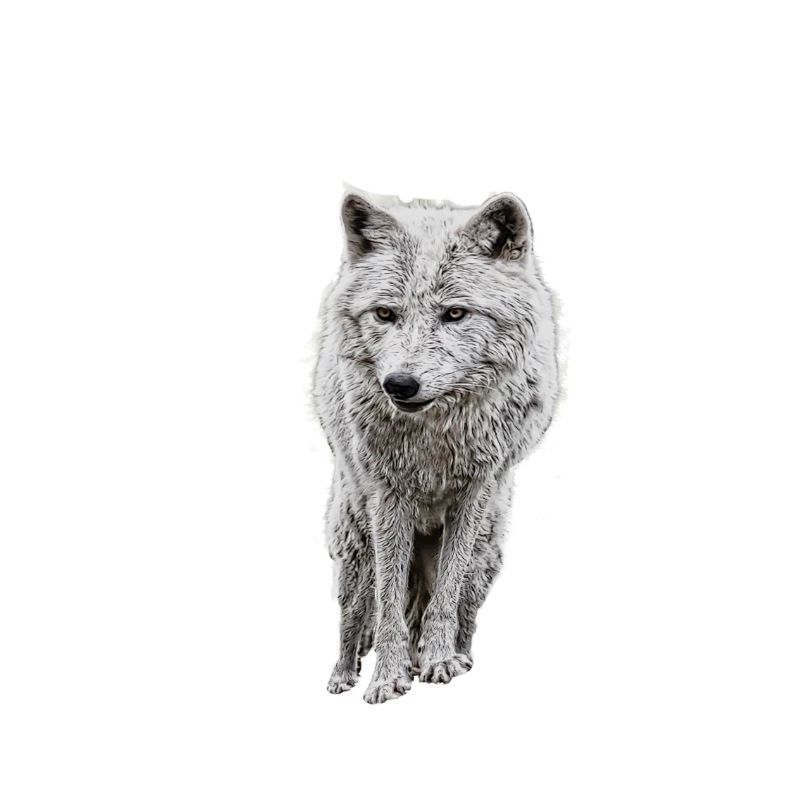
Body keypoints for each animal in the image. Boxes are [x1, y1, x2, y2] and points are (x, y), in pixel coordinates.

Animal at [313, 188, 558, 703]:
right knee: (354, 614)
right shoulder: (388, 498)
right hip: (354, 545)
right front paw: (387, 678)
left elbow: (446, 591)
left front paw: (439, 660)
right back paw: (344, 675)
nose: (399, 384)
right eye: (385, 313)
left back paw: (455, 656)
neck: (434, 436)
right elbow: (387, 606)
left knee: (457, 604)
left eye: (455, 313)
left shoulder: (475, 493)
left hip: (488, 551)